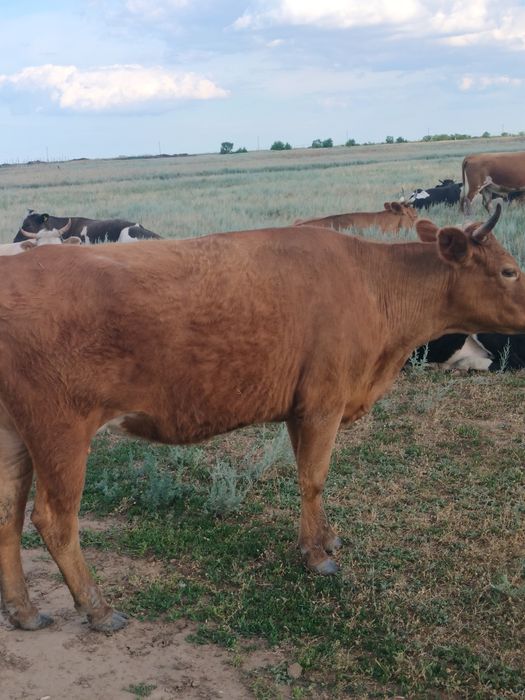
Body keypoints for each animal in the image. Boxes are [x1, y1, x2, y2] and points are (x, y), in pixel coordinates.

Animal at [1, 204, 525, 633]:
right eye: (508, 270)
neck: (373, 283)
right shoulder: (322, 404)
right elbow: (313, 478)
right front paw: (315, 555)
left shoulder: (300, 409)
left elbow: (309, 479)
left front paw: (326, 539)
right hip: (61, 433)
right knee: (54, 520)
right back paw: (98, 609)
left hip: (16, 437)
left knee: (9, 515)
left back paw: (25, 611)